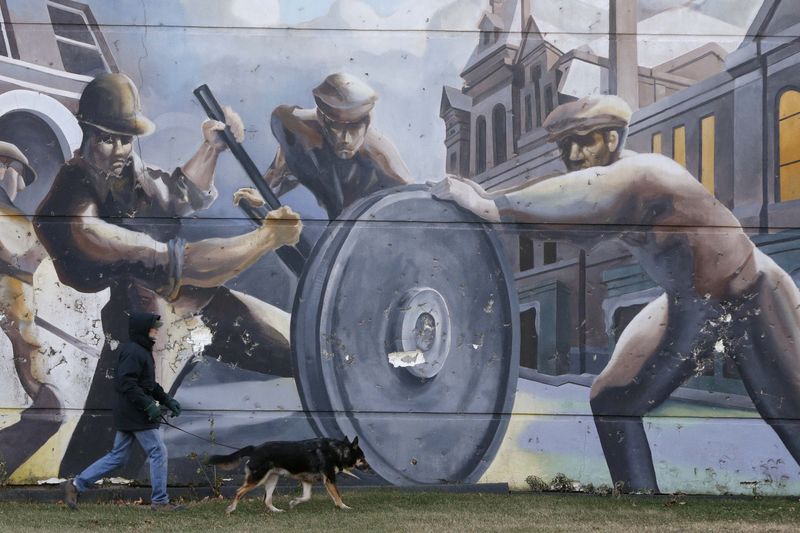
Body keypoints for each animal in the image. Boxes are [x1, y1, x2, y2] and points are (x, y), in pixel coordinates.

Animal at [206, 436, 368, 512]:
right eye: (362, 457)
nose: (368, 467)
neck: (337, 451)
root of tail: (255, 448)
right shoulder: (329, 479)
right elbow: (338, 496)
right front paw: (344, 507)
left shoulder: (307, 481)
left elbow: (306, 497)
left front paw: (294, 502)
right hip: (257, 479)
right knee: (239, 491)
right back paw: (231, 509)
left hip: (272, 479)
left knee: (267, 500)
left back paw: (277, 511)